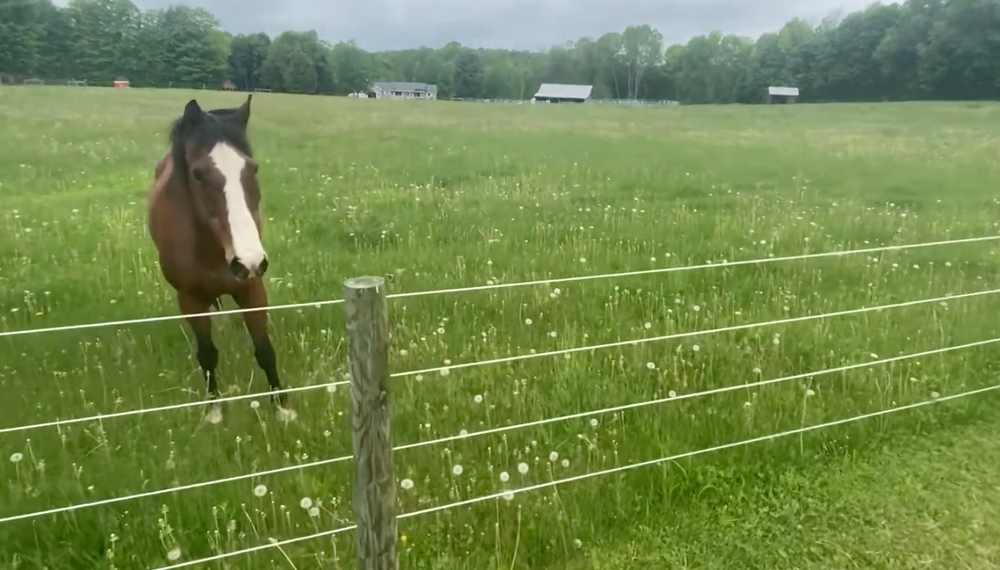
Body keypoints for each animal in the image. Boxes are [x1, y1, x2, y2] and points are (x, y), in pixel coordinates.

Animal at [147, 95, 296, 424]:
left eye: (253, 169)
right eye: (198, 174)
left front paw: (282, 408)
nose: (248, 261)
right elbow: (207, 354)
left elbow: (264, 349)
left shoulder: (252, 289)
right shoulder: (189, 299)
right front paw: (214, 411)